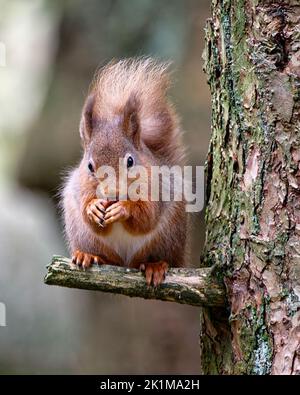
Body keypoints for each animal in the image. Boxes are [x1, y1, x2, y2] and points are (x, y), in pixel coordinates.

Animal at [61, 58, 188, 284]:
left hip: (169, 236)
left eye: (130, 161)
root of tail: (126, 263)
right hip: (82, 234)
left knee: (161, 257)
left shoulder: (157, 187)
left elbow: (147, 216)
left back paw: (155, 265)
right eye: (89, 166)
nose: (112, 193)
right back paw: (87, 255)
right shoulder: (80, 187)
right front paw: (93, 207)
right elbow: (88, 211)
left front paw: (123, 208)